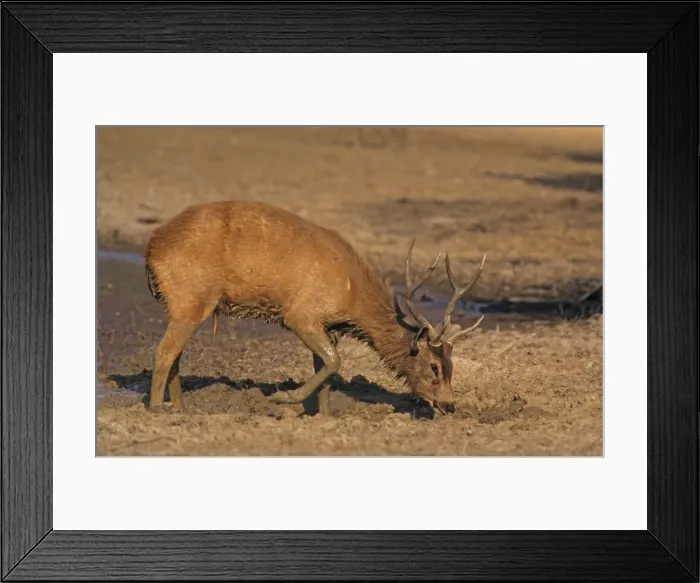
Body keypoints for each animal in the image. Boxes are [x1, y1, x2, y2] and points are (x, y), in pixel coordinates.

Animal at [143, 200, 486, 416]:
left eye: (452, 367)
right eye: (434, 367)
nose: (449, 405)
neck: (352, 296)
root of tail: (150, 249)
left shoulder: (329, 327)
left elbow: (326, 370)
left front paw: (324, 414)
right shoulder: (301, 314)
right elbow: (334, 363)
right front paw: (283, 398)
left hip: (184, 303)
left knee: (175, 355)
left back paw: (181, 407)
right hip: (191, 296)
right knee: (163, 352)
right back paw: (158, 408)